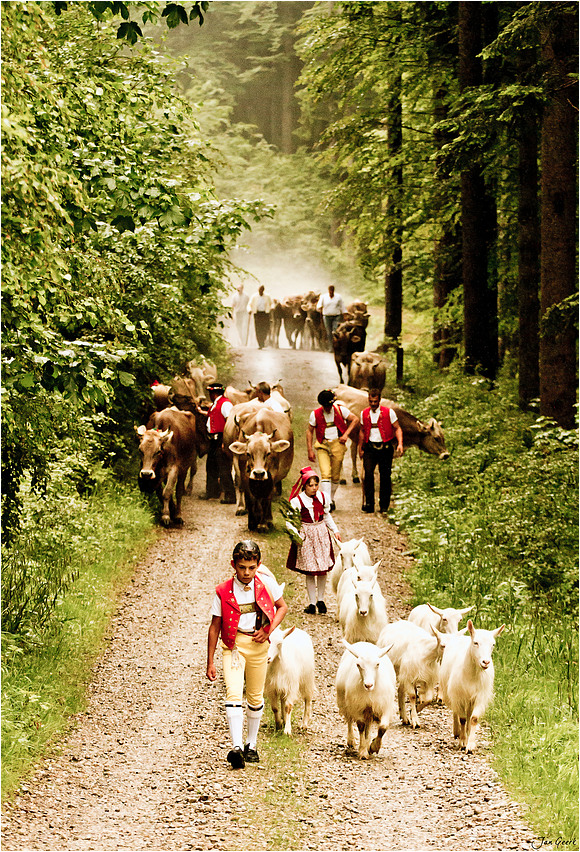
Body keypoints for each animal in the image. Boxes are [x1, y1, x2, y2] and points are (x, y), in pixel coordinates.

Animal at [436, 620, 502, 752]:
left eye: (493, 644)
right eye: (476, 643)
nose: (486, 662)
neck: (472, 675)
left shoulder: (480, 696)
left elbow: (473, 718)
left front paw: (470, 744)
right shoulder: (459, 696)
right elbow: (462, 719)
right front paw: (462, 742)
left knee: (469, 715)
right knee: (456, 712)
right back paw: (457, 732)